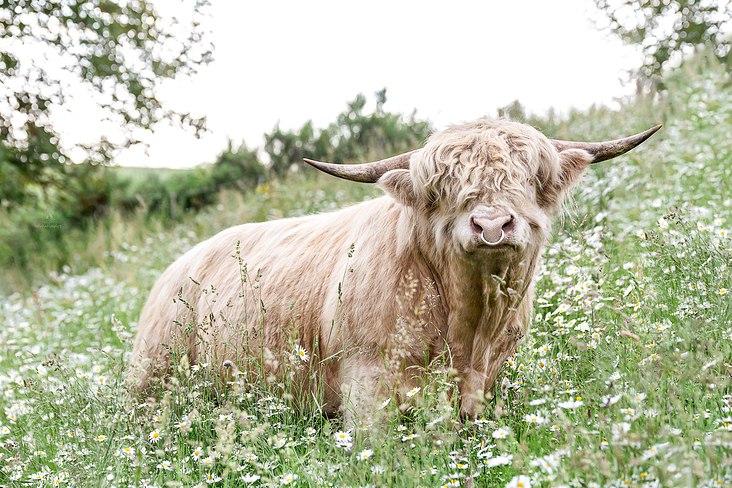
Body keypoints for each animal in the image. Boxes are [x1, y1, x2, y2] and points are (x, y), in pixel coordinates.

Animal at [129, 119, 660, 424]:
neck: (468, 325)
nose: (491, 225)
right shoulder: (367, 383)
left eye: (530, 178)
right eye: (444, 186)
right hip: (153, 385)